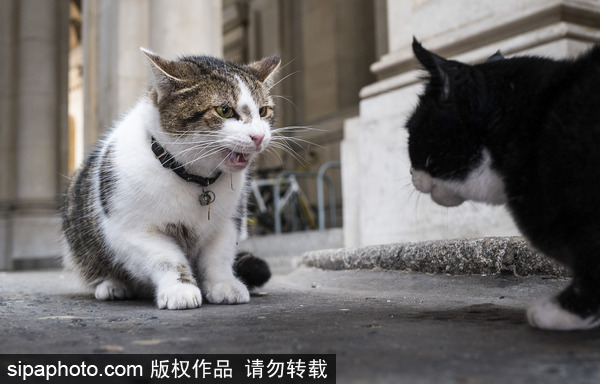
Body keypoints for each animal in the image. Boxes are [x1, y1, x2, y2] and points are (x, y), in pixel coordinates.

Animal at [62, 49, 278, 310]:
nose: (259, 136)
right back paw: (112, 286)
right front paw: (180, 289)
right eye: (224, 111)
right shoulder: (133, 230)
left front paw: (224, 284)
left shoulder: (227, 222)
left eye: (263, 111)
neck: (195, 179)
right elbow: (167, 259)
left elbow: (218, 257)